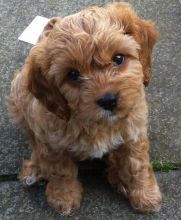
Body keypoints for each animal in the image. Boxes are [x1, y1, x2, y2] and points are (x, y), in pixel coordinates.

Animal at [7, 1, 162, 214]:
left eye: (118, 58)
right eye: (72, 74)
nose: (108, 100)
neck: (97, 124)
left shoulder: (134, 132)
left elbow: (137, 165)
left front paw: (146, 194)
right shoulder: (52, 142)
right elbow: (61, 170)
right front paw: (63, 196)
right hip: (19, 98)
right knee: (33, 141)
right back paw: (35, 168)